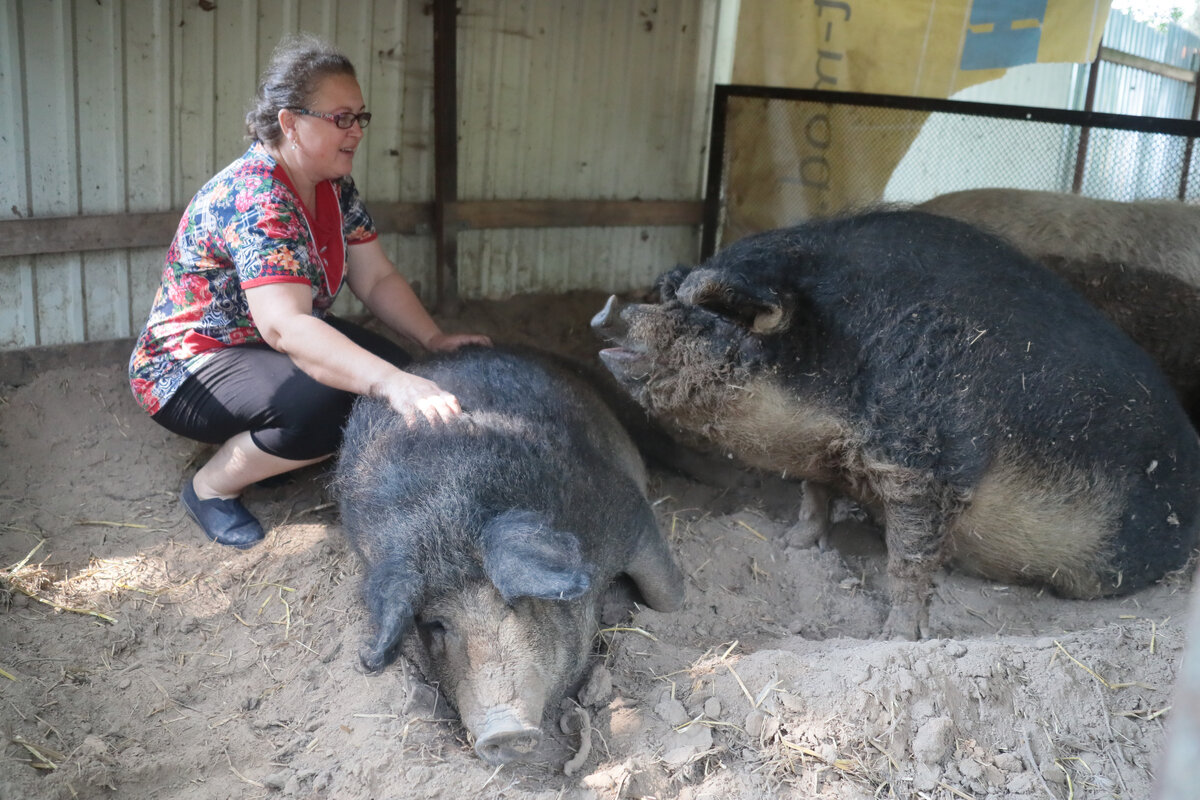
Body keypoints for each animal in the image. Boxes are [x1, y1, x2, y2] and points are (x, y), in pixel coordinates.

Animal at [331, 347, 686, 767]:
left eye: (511, 604)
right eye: (435, 624)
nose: (503, 731)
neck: (442, 518)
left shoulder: (626, 512)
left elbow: (665, 595)